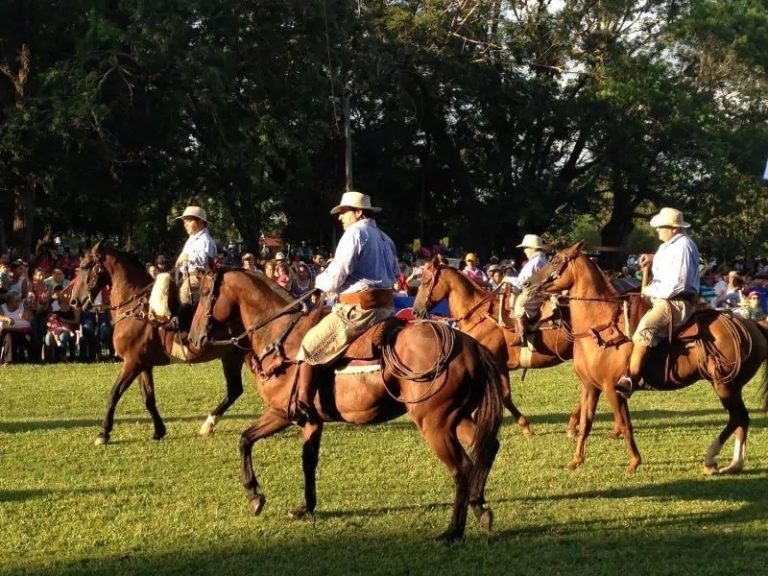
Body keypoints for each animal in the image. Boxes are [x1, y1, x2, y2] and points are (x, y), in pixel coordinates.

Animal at [70, 242, 246, 446]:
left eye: (85, 266)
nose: (74, 301)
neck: (136, 310)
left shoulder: (131, 363)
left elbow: (114, 393)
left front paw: (103, 433)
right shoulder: (143, 365)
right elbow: (148, 398)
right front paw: (159, 430)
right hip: (232, 356)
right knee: (234, 390)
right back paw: (208, 425)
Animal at [189, 268, 508, 544]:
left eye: (204, 291)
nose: (193, 339)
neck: (279, 338)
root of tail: (469, 346)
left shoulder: (281, 413)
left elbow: (245, 440)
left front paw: (255, 496)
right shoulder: (311, 421)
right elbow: (307, 460)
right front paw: (305, 506)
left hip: (435, 424)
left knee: (462, 467)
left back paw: (453, 530)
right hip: (456, 417)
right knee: (488, 447)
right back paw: (480, 507)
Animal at [524, 242, 768, 472]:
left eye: (556, 261)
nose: (527, 284)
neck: (600, 327)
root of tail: (753, 325)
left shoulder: (612, 389)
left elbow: (624, 424)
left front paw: (634, 462)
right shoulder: (590, 387)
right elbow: (586, 423)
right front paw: (576, 460)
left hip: (725, 385)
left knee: (738, 418)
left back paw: (711, 460)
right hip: (731, 387)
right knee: (742, 419)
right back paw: (733, 464)